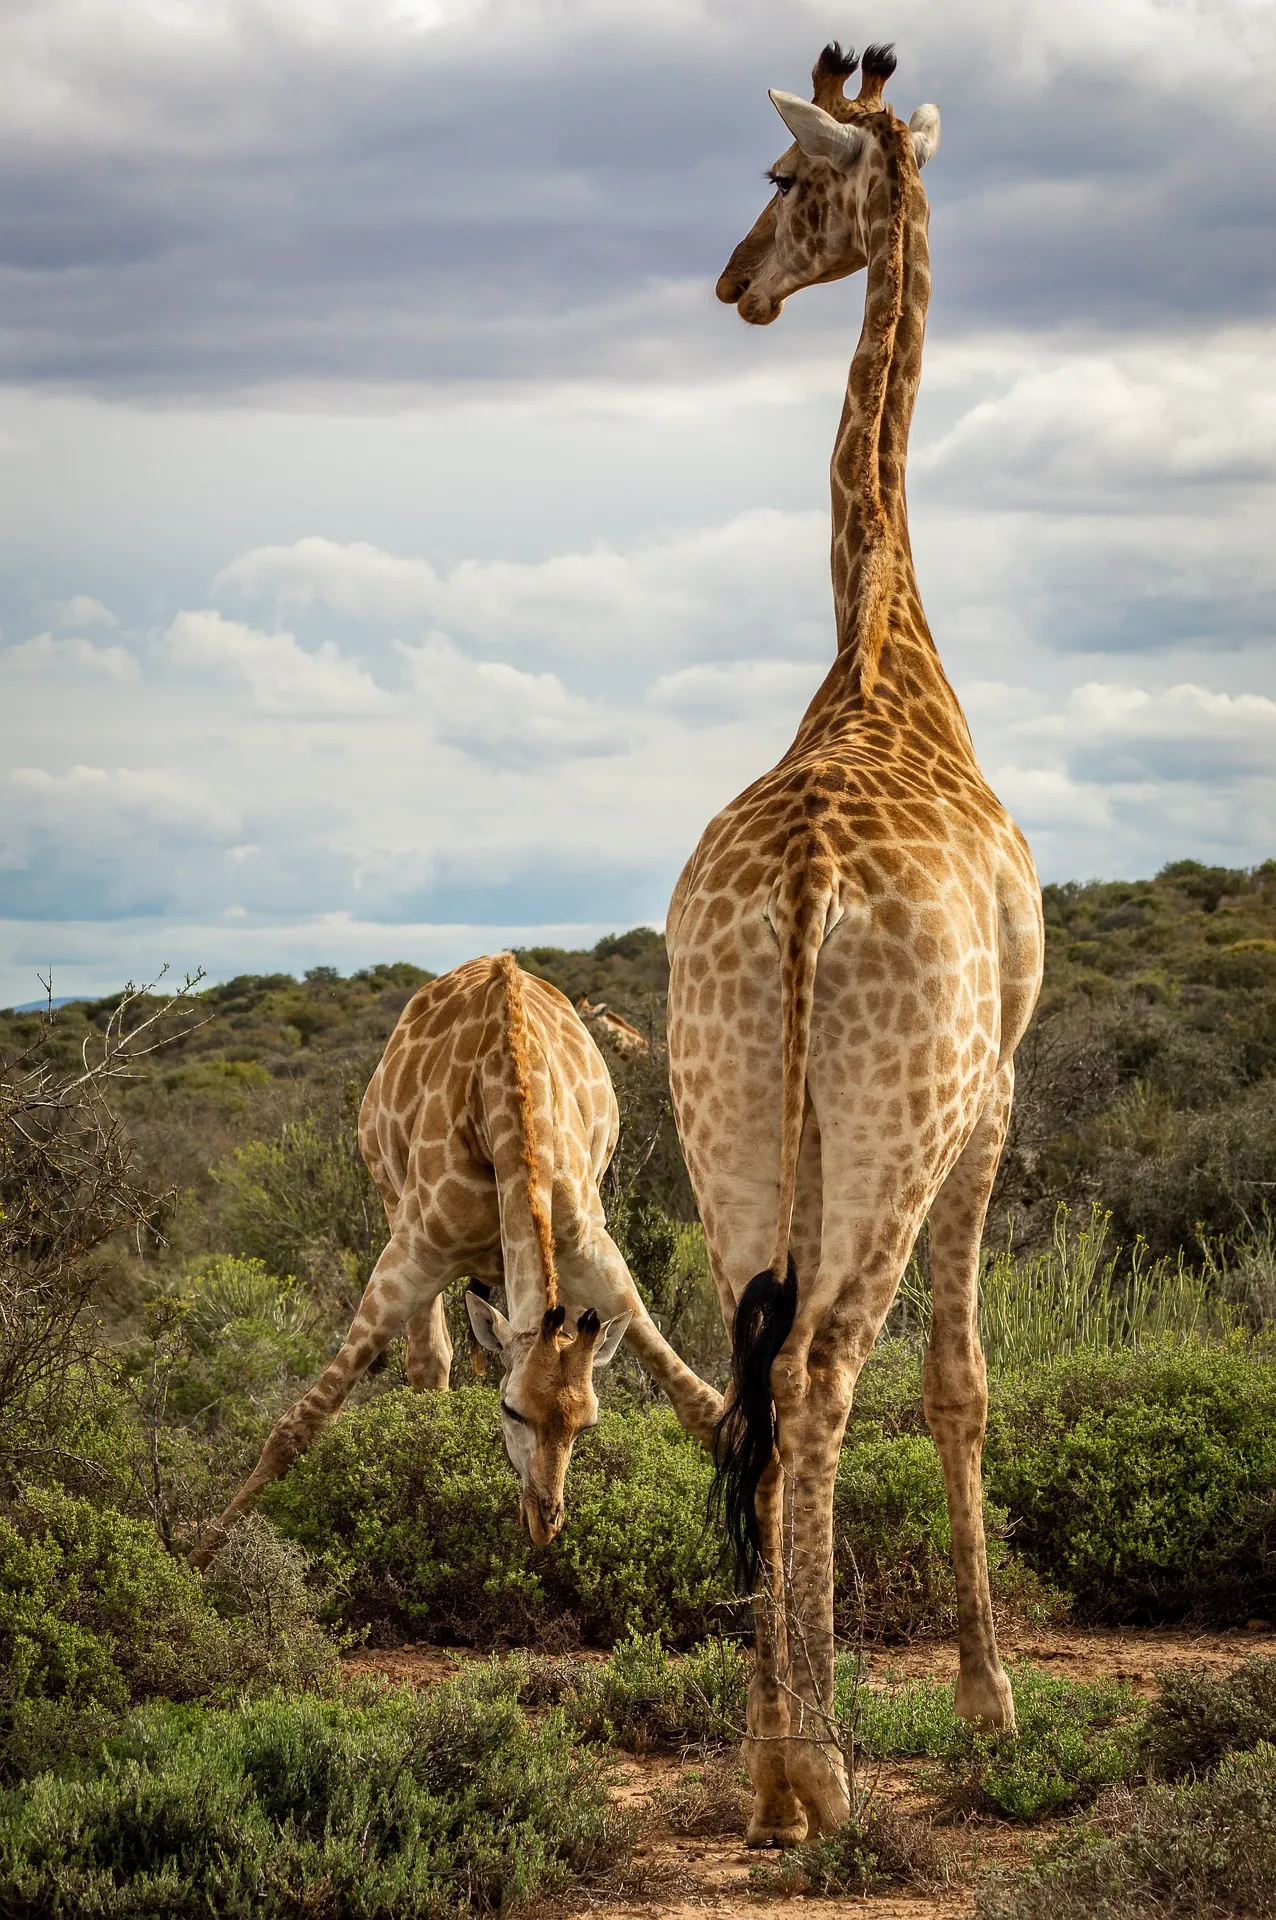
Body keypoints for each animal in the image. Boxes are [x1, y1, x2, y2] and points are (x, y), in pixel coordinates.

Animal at [193, 952, 721, 1566]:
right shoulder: (415, 1252)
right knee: (428, 1362)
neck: (507, 1099)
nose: (545, 1523)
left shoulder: (590, 1249)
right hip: (391, 1201)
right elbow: (300, 1422)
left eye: (586, 1425)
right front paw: (199, 1561)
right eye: (510, 1409)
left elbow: (703, 1406)